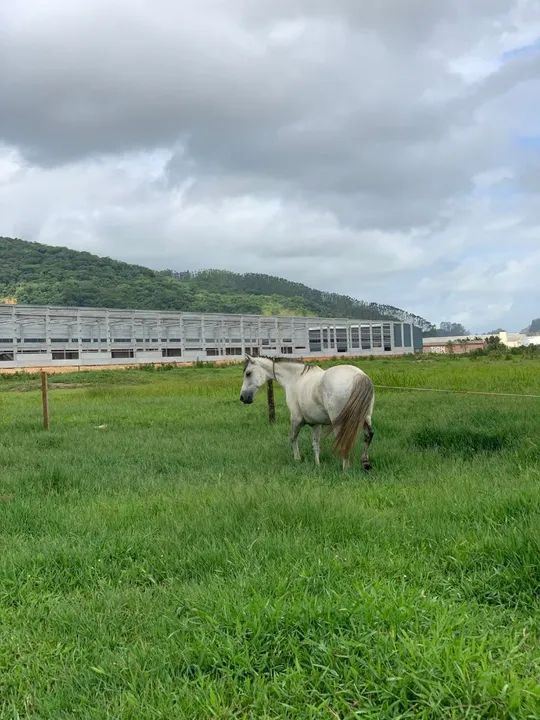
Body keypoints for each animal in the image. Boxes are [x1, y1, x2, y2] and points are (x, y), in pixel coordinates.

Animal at [239, 355, 375, 471]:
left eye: (248, 373)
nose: (243, 398)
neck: (295, 378)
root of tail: (359, 376)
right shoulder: (316, 424)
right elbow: (316, 445)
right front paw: (317, 465)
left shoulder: (296, 419)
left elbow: (293, 438)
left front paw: (297, 459)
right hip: (365, 418)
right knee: (368, 435)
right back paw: (365, 463)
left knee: (344, 440)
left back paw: (345, 468)